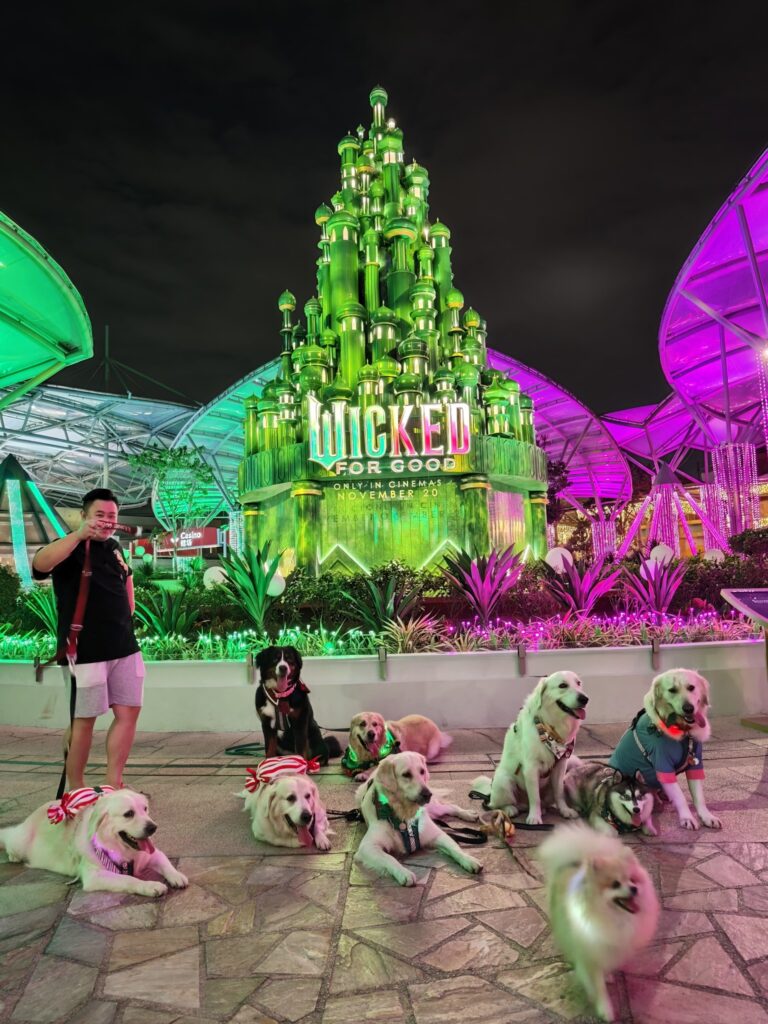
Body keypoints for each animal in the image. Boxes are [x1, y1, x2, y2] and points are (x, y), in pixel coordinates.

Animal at [0, 787, 188, 897]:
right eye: (128, 814)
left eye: (145, 809)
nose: (153, 827)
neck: (122, 850)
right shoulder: (95, 876)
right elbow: (129, 879)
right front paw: (150, 886)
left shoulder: (153, 854)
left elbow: (165, 863)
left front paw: (177, 876)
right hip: (20, 841)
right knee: (8, 836)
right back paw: (12, 855)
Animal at [354, 751, 482, 887]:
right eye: (406, 774)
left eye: (422, 771)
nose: (428, 794)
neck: (404, 814)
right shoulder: (367, 846)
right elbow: (389, 858)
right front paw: (403, 873)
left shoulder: (436, 834)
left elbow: (455, 849)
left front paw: (469, 859)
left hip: (433, 808)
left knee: (450, 807)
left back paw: (468, 814)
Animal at [472, 671, 589, 825]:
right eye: (563, 685)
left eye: (579, 683)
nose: (585, 699)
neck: (550, 730)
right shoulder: (531, 768)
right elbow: (535, 798)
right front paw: (534, 817)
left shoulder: (560, 766)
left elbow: (559, 792)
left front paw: (565, 810)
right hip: (503, 780)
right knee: (498, 805)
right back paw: (511, 809)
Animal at [539, 823, 659, 1022]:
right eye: (615, 884)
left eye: (632, 880)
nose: (634, 889)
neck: (612, 917)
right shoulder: (590, 952)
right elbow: (597, 984)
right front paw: (605, 1009)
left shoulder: (608, 947)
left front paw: (608, 976)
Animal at [608, 668, 720, 830]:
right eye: (672, 690)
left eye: (691, 687)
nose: (688, 708)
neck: (684, 733)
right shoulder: (663, 766)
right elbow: (680, 796)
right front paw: (687, 818)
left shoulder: (695, 764)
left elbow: (699, 796)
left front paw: (707, 816)